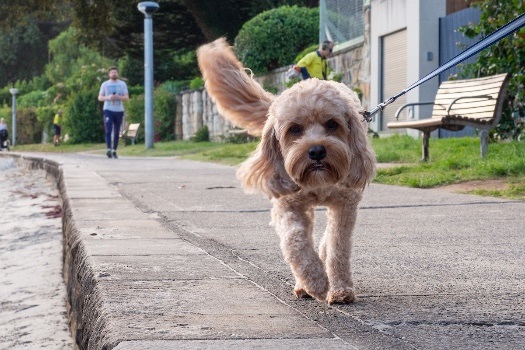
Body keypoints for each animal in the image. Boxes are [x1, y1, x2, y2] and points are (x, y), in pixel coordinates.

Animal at [195, 37, 372, 302]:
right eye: (294, 129)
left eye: (332, 124)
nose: (316, 151)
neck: (319, 184)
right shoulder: (288, 204)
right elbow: (294, 240)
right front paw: (315, 281)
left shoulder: (345, 204)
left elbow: (337, 246)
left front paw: (340, 288)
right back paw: (303, 285)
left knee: (328, 240)